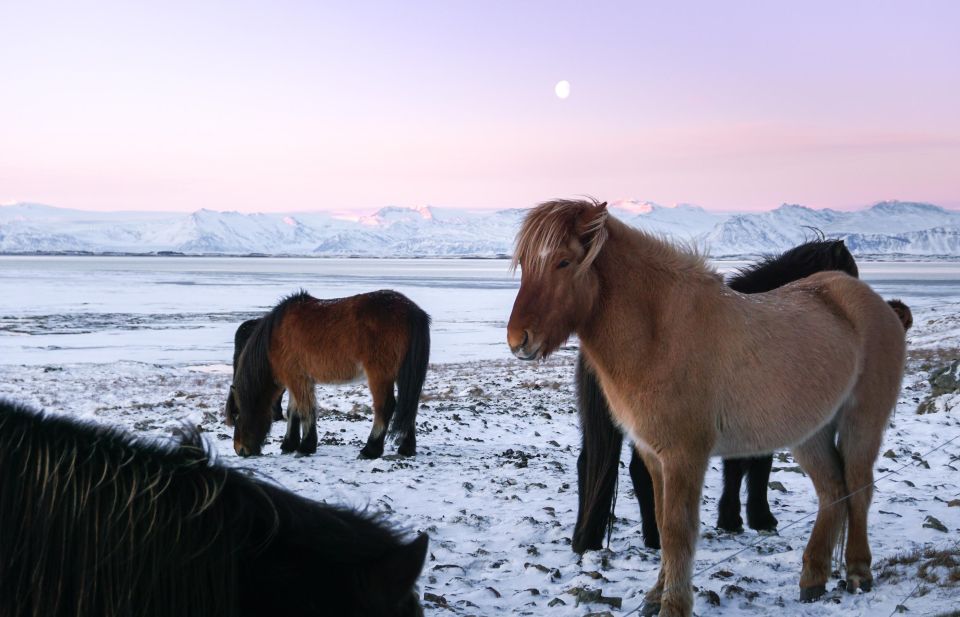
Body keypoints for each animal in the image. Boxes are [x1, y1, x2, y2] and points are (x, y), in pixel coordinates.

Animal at [231, 288, 430, 458]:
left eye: (237, 415)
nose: (239, 449)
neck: (275, 337)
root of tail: (412, 311)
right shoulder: (299, 379)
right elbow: (294, 410)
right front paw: (289, 444)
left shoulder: (296, 378)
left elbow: (305, 409)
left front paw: (305, 446)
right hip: (403, 375)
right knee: (408, 406)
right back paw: (406, 448)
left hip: (380, 375)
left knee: (386, 407)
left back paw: (370, 450)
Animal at [572, 238, 860, 552]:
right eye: (848, 275)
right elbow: (759, 464)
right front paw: (758, 518)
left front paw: (731, 519)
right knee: (639, 471)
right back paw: (656, 536)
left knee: (589, 464)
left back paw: (588, 540)